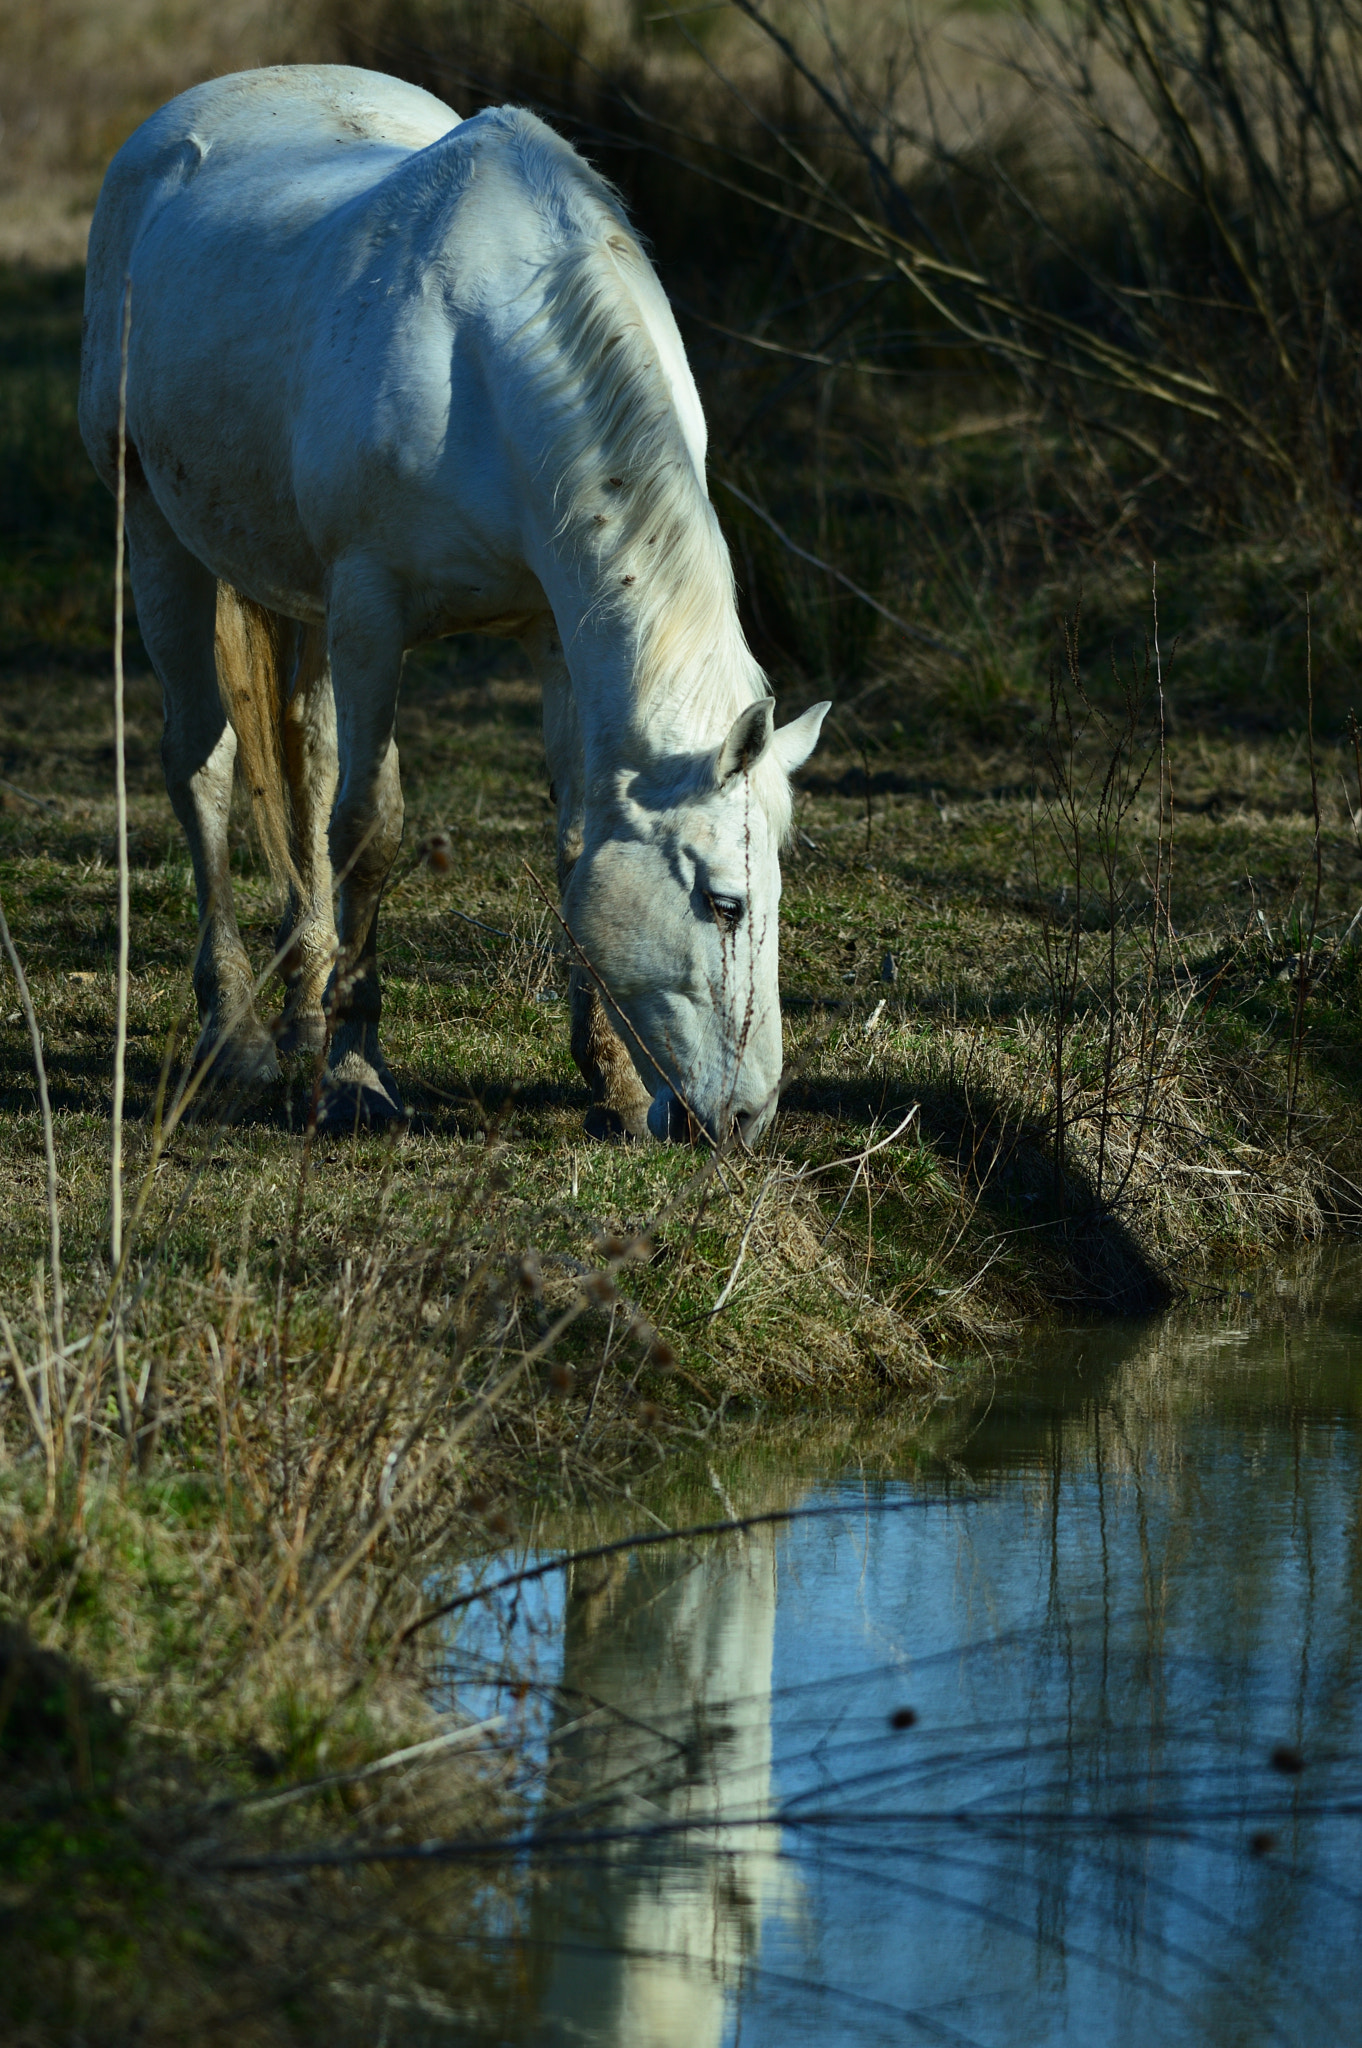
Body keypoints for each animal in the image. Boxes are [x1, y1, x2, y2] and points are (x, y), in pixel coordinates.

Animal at [84, 64, 835, 1146]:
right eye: (726, 902)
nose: (744, 1118)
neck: (491, 356)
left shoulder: (553, 633)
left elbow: (570, 839)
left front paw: (610, 1079)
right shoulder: (372, 609)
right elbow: (368, 830)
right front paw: (358, 1074)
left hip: (299, 594)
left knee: (303, 754)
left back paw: (302, 1006)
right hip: (156, 534)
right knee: (206, 766)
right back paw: (237, 1037)